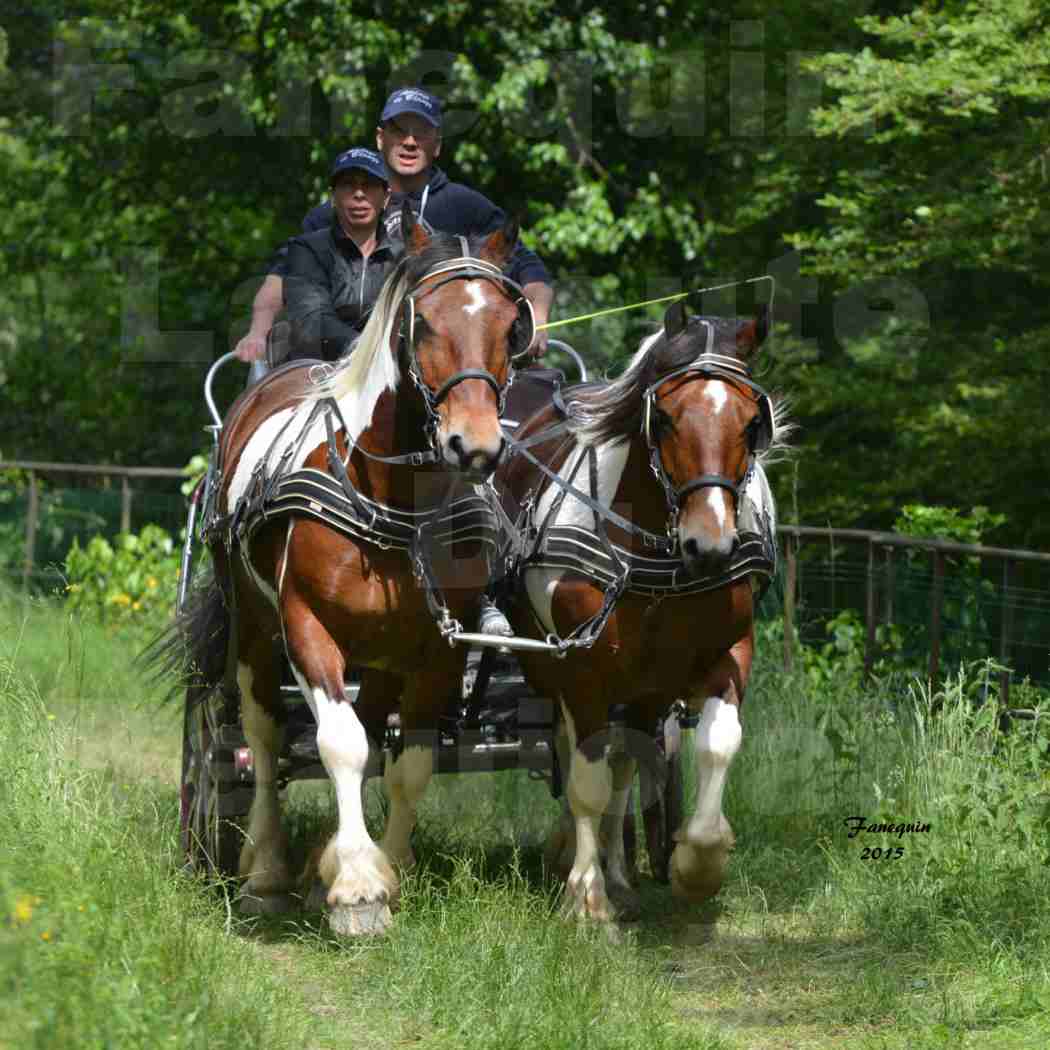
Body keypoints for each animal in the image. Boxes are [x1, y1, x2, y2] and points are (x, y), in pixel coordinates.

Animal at [178, 204, 533, 936]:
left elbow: (407, 763)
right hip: (254, 629)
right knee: (263, 735)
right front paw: (357, 890)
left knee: (371, 728)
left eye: (509, 327)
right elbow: (339, 744)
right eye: (423, 323)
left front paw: (377, 869)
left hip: (382, 653)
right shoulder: (307, 627)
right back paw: (267, 871)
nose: (475, 445)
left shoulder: (437, 651)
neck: (387, 497)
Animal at [495, 302, 785, 919]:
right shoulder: (579, 667)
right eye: (666, 418)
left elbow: (717, 746)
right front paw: (585, 898)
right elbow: (585, 778)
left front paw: (695, 864)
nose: (710, 546)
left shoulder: (727, 653)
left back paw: (620, 870)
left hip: (645, 684)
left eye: (753, 422)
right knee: (581, 755)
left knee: (628, 761)